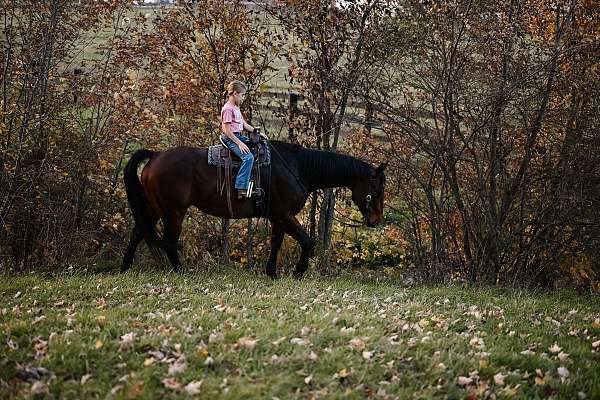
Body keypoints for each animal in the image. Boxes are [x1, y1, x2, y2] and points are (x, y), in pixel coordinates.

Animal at [122, 141, 386, 278]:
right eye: (376, 188)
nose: (376, 220)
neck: (298, 168)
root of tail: (155, 155)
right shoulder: (284, 215)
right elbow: (307, 241)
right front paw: (298, 271)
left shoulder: (279, 217)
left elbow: (276, 243)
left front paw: (272, 272)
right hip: (173, 212)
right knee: (169, 241)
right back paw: (179, 270)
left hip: (154, 208)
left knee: (137, 233)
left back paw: (125, 267)